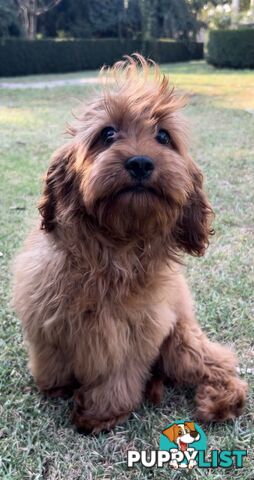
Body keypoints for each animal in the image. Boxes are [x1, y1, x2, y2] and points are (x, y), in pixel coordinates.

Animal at [12, 54, 248, 434]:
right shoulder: (48, 319)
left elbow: (117, 377)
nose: (140, 163)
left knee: (220, 361)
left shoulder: (132, 334)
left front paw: (100, 414)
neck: (116, 246)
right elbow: (52, 362)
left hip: (182, 342)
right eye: (107, 134)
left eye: (163, 136)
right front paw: (56, 387)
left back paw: (223, 399)